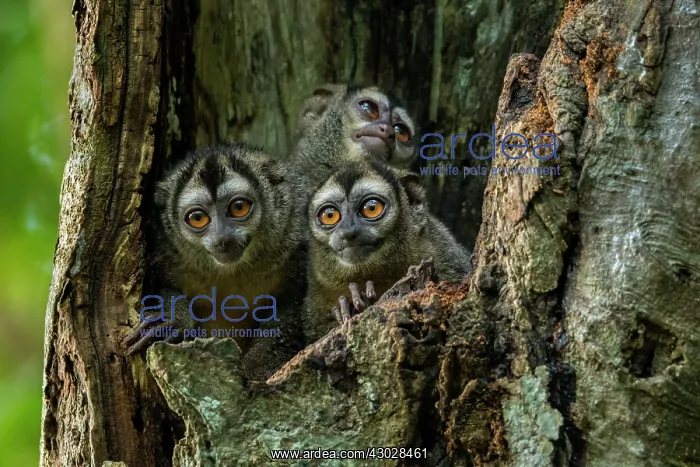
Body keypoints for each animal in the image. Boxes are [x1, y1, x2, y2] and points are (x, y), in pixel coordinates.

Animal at [122, 143, 306, 380]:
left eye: (239, 207)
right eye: (197, 218)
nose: (223, 239)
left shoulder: (293, 246)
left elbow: (289, 310)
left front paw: (256, 370)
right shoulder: (164, 252)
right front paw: (168, 321)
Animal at [302, 160, 472, 343]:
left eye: (371, 208)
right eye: (330, 215)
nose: (348, 232)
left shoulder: (445, 256)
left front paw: (361, 304)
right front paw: (348, 308)